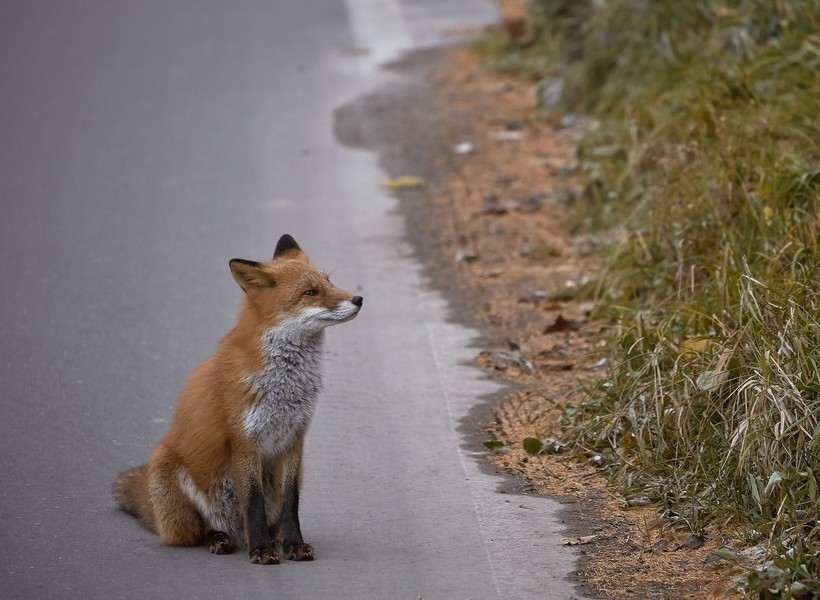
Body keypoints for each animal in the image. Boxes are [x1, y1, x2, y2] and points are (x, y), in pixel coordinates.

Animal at [111, 233, 362, 564]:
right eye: (310, 292)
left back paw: (271, 538)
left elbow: (290, 503)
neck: (285, 386)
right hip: (168, 468)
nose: (358, 299)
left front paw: (293, 544)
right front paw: (261, 550)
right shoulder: (244, 441)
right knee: (200, 531)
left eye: (328, 281)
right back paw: (221, 538)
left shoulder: (293, 440)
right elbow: (252, 503)